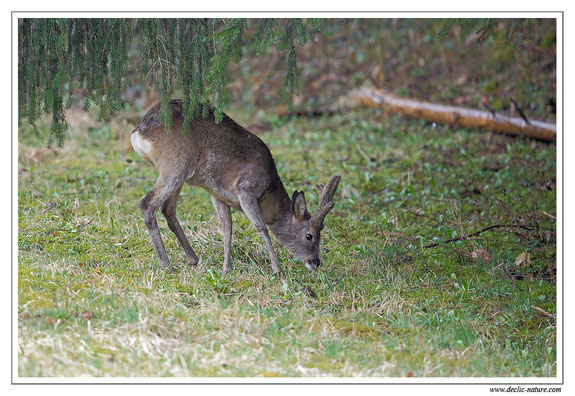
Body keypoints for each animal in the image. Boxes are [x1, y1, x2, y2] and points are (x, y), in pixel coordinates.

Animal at [132, 100, 342, 276]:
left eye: (321, 230)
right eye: (309, 235)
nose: (316, 262)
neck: (268, 189)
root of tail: (139, 131)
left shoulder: (217, 194)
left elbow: (227, 227)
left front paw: (227, 268)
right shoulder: (245, 189)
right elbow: (261, 226)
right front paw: (277, 269)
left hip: (178, 172)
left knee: (167, 210)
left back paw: (194, 258)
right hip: (176, 165)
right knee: (147, 204)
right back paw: (167, 265)